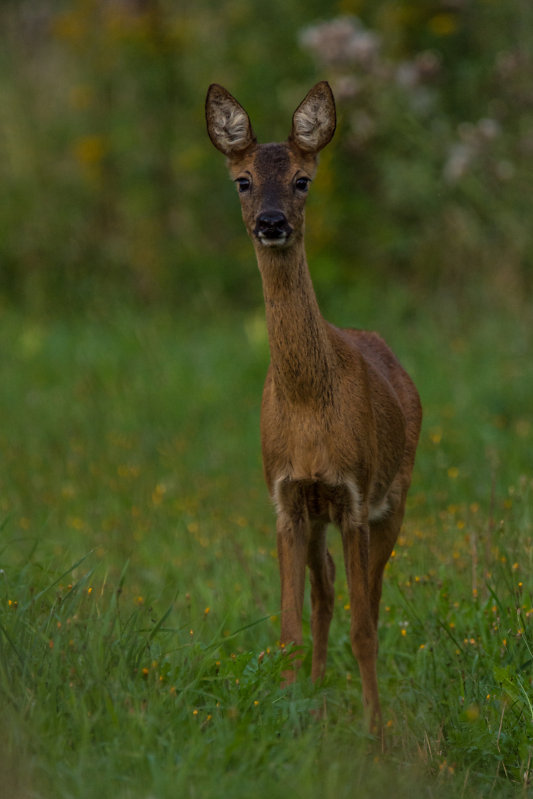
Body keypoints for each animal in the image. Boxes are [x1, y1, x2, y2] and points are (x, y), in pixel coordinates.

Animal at [204, 81, 420, 732]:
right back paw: (319, 691)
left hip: (394, 498)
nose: (271, 222)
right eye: (242, 180)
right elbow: (289, 631)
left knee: (370, 599)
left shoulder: (354, 496)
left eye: (302, 179)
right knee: (324, 589)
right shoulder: (285, 497)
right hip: (318, 513)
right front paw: (289, 713)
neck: (306, 412)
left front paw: (375, 732)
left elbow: (365, 628)